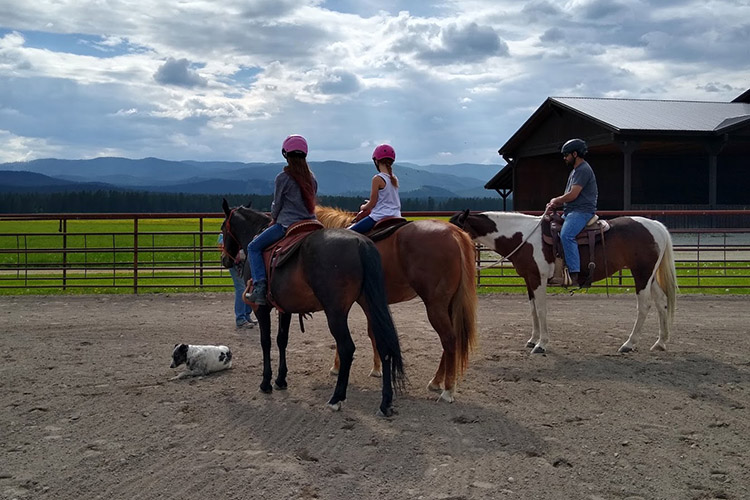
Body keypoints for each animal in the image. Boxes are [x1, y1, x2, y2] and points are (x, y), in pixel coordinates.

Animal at [220, 201, 406, 416]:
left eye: (223, 228)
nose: (224, 260)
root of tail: (361, 243)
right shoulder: (285, 308)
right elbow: (282, 340)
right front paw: (281, 379)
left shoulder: (262, 308)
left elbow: (266, 342)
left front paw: (266, 382)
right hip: (369, 304)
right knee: (384, 345)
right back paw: (385, 403)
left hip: (335, 312)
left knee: (347, 348)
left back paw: (336, 398)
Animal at [314, 204, 478, 402]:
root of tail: (455, 233)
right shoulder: (368, 301)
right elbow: (373, 332)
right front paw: (377, 368)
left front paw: (338, 367)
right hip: (449, 305)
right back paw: (436, 381)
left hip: (435, 306)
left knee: (449, 339)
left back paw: (447, 390)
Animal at [452, 209, 680, 354]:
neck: (523, 237)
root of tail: (655, 225)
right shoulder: (529, 279)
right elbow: (532, 310)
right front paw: (532, 339)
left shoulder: (539, 279)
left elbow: (541, 310)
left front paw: (542, 344)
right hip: (650, 276)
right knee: (662, 302)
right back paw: (661, 343)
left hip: (642, 274)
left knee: (644, 306)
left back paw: (629, 344)